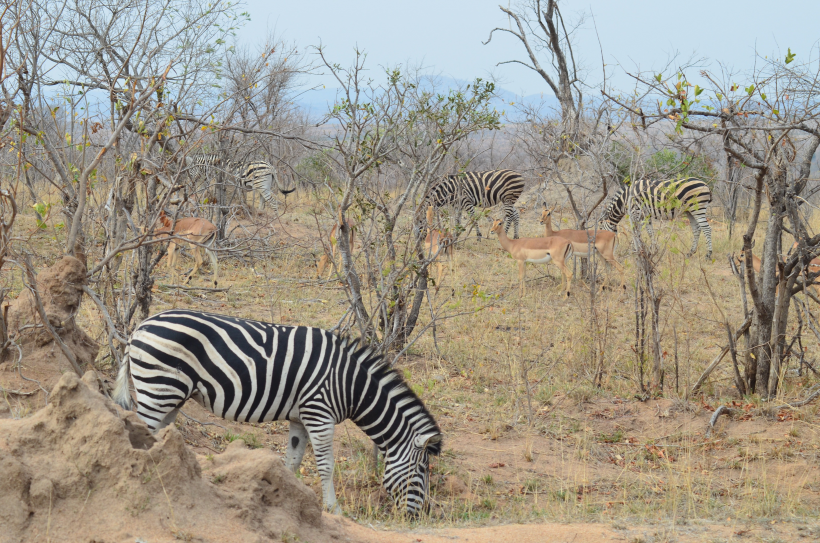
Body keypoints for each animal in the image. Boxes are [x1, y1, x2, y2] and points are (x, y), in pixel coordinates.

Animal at [114, 310, 442, 516]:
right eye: (423, 470)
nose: (420, 516)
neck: (351, 384)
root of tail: (140, 327)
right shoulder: (319, 414)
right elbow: (326, 465)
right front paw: (333, 509)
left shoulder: (300, 418)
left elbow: (292, 461)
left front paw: (285, 497)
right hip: (158, 389)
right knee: (141, 432)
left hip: (171, 396)